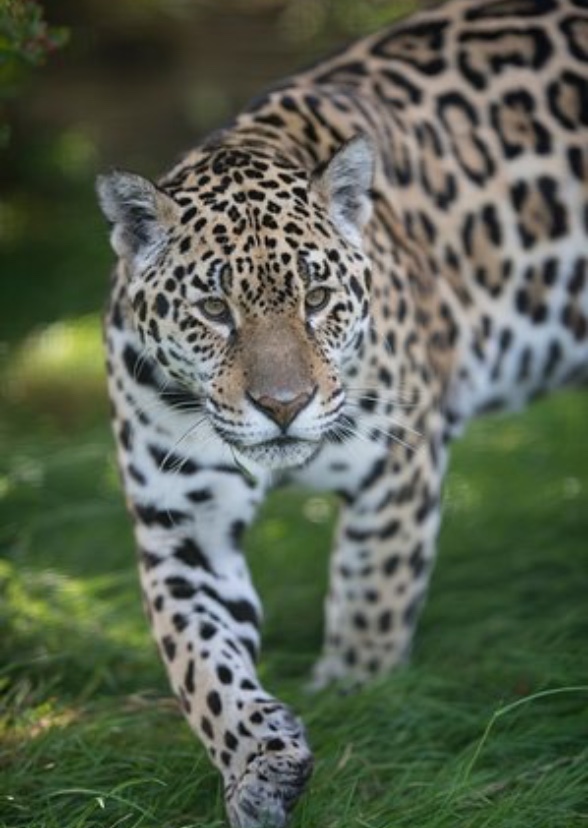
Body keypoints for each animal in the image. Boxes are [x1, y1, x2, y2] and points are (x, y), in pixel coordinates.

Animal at [96, 0, 588, 825]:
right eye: (214, 309)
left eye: (318, 298)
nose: (283, 406)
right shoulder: (183, 523)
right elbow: (203, 662)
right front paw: (260, 762)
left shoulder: (400, 467)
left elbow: (371, 598)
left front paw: (359, 696)